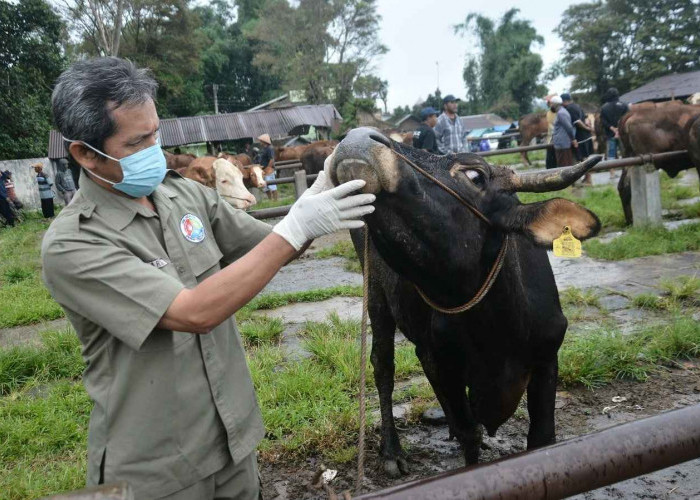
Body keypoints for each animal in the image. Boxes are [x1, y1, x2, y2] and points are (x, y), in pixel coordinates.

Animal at [328, 126, 600, 476]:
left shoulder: (547, 357)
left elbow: (541, 437)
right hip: (376, 297)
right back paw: (391, 450)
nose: (359, 136)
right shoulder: (442, 363)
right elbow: (470, 435)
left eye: (475, 175)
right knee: (383, 366)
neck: (498, 331)